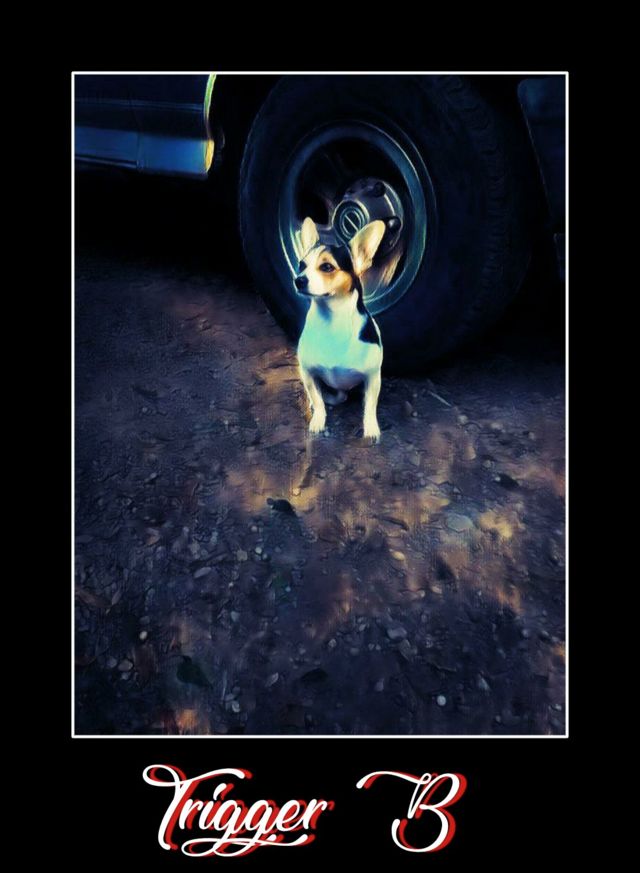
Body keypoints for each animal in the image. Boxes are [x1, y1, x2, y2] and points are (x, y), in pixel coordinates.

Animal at [295, 217, 386, 442]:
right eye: (301, 265)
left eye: (327, 267)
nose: (298, 279)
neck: (332, 321)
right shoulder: (308, 373)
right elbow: (318, 400)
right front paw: (318, 420)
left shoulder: (372, 377)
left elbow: (370, 406)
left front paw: (371, 428)